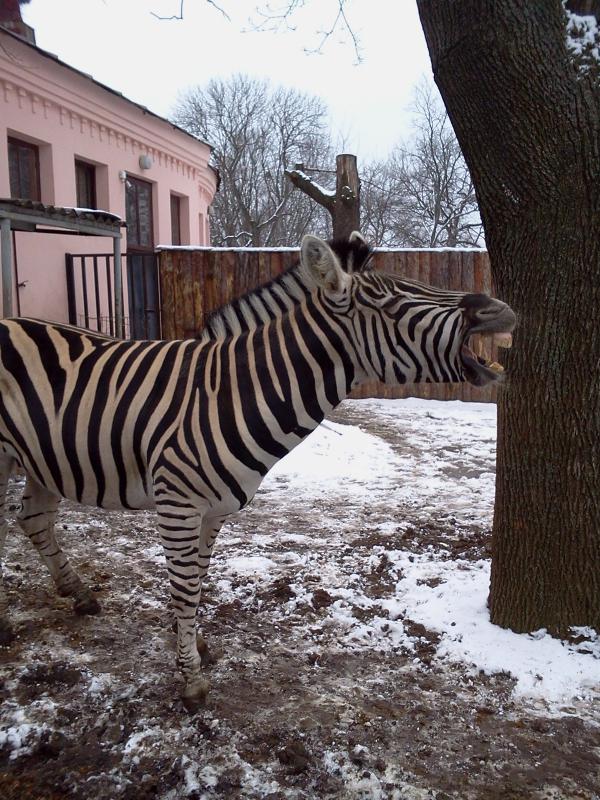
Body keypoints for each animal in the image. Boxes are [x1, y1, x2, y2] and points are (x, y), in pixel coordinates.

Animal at [0, 233, 516, 711]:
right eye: (391, 303)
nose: (502, 309)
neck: (227, 396)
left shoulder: (214, 510)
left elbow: (197, 580)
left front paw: (195, 644)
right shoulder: (177, 503)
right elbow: (184, 588)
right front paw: (191, 679)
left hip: (42, 458)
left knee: (34, 519)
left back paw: (79, 593)